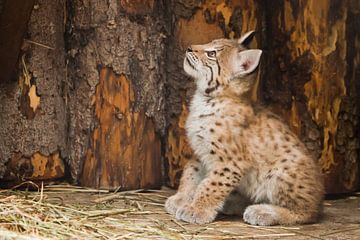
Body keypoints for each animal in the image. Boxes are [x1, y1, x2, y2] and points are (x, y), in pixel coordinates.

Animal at [165, 30, 324, 225]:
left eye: (212, 54)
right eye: (210, 43)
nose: (189, 48)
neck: (207, 99)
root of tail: (321, 198)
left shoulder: (230, 163)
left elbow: (211, 185)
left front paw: (197, 209)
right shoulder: (201, 152)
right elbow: (191, 174)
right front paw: (182, 198)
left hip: (282, 171)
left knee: (306, 212)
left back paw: (263, 212)